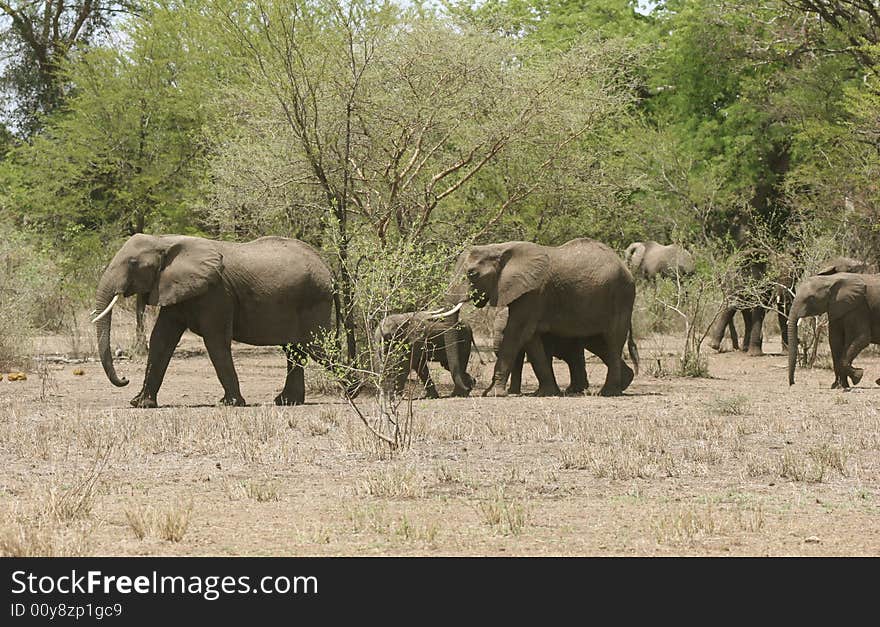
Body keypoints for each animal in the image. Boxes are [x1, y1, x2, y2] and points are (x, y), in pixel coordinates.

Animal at [450, 238, 636, 394]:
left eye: (472, 274)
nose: (469, 385)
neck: (499, 248)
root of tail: (625, 267)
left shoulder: (533, 292)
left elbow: (517, 332)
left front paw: (492, 394)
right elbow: (530, 337)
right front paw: (546, 393)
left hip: (620, 295)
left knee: (613, 340)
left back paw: (608, 392)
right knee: (599, 341)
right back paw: (622, 382)